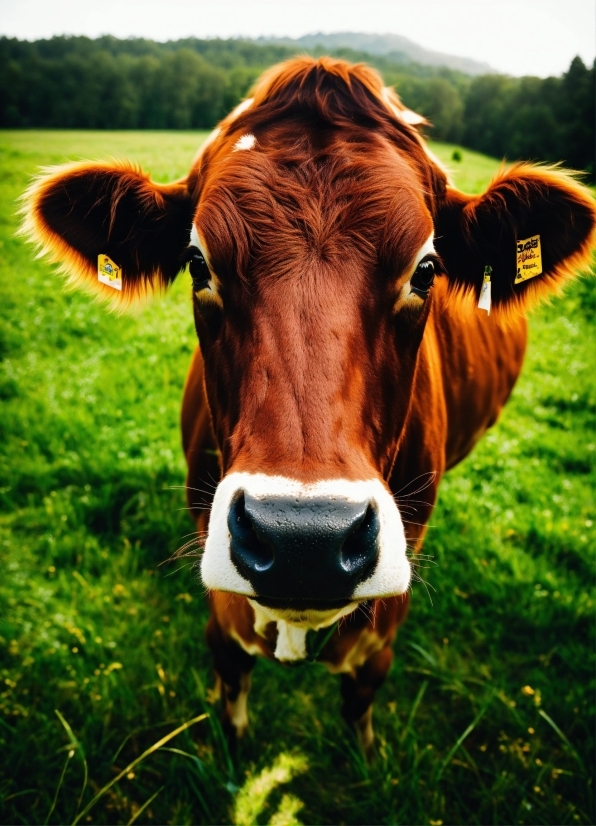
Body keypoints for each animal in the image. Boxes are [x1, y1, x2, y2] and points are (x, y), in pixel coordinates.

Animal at [21, 56, 592, 748]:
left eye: (426, 269)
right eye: (197, 263)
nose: (304, 539)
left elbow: (363, 689)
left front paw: (363, 753)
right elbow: (231, 673)